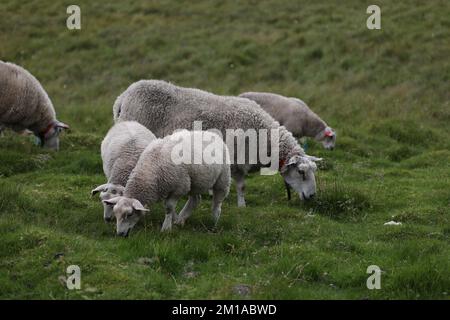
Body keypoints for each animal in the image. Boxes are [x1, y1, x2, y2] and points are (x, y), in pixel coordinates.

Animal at [114, 80, 322, 208]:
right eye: (301, 172)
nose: (312, 196)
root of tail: (122, 97)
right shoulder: (237, 160)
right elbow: (241, 186)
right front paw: (241, 205)